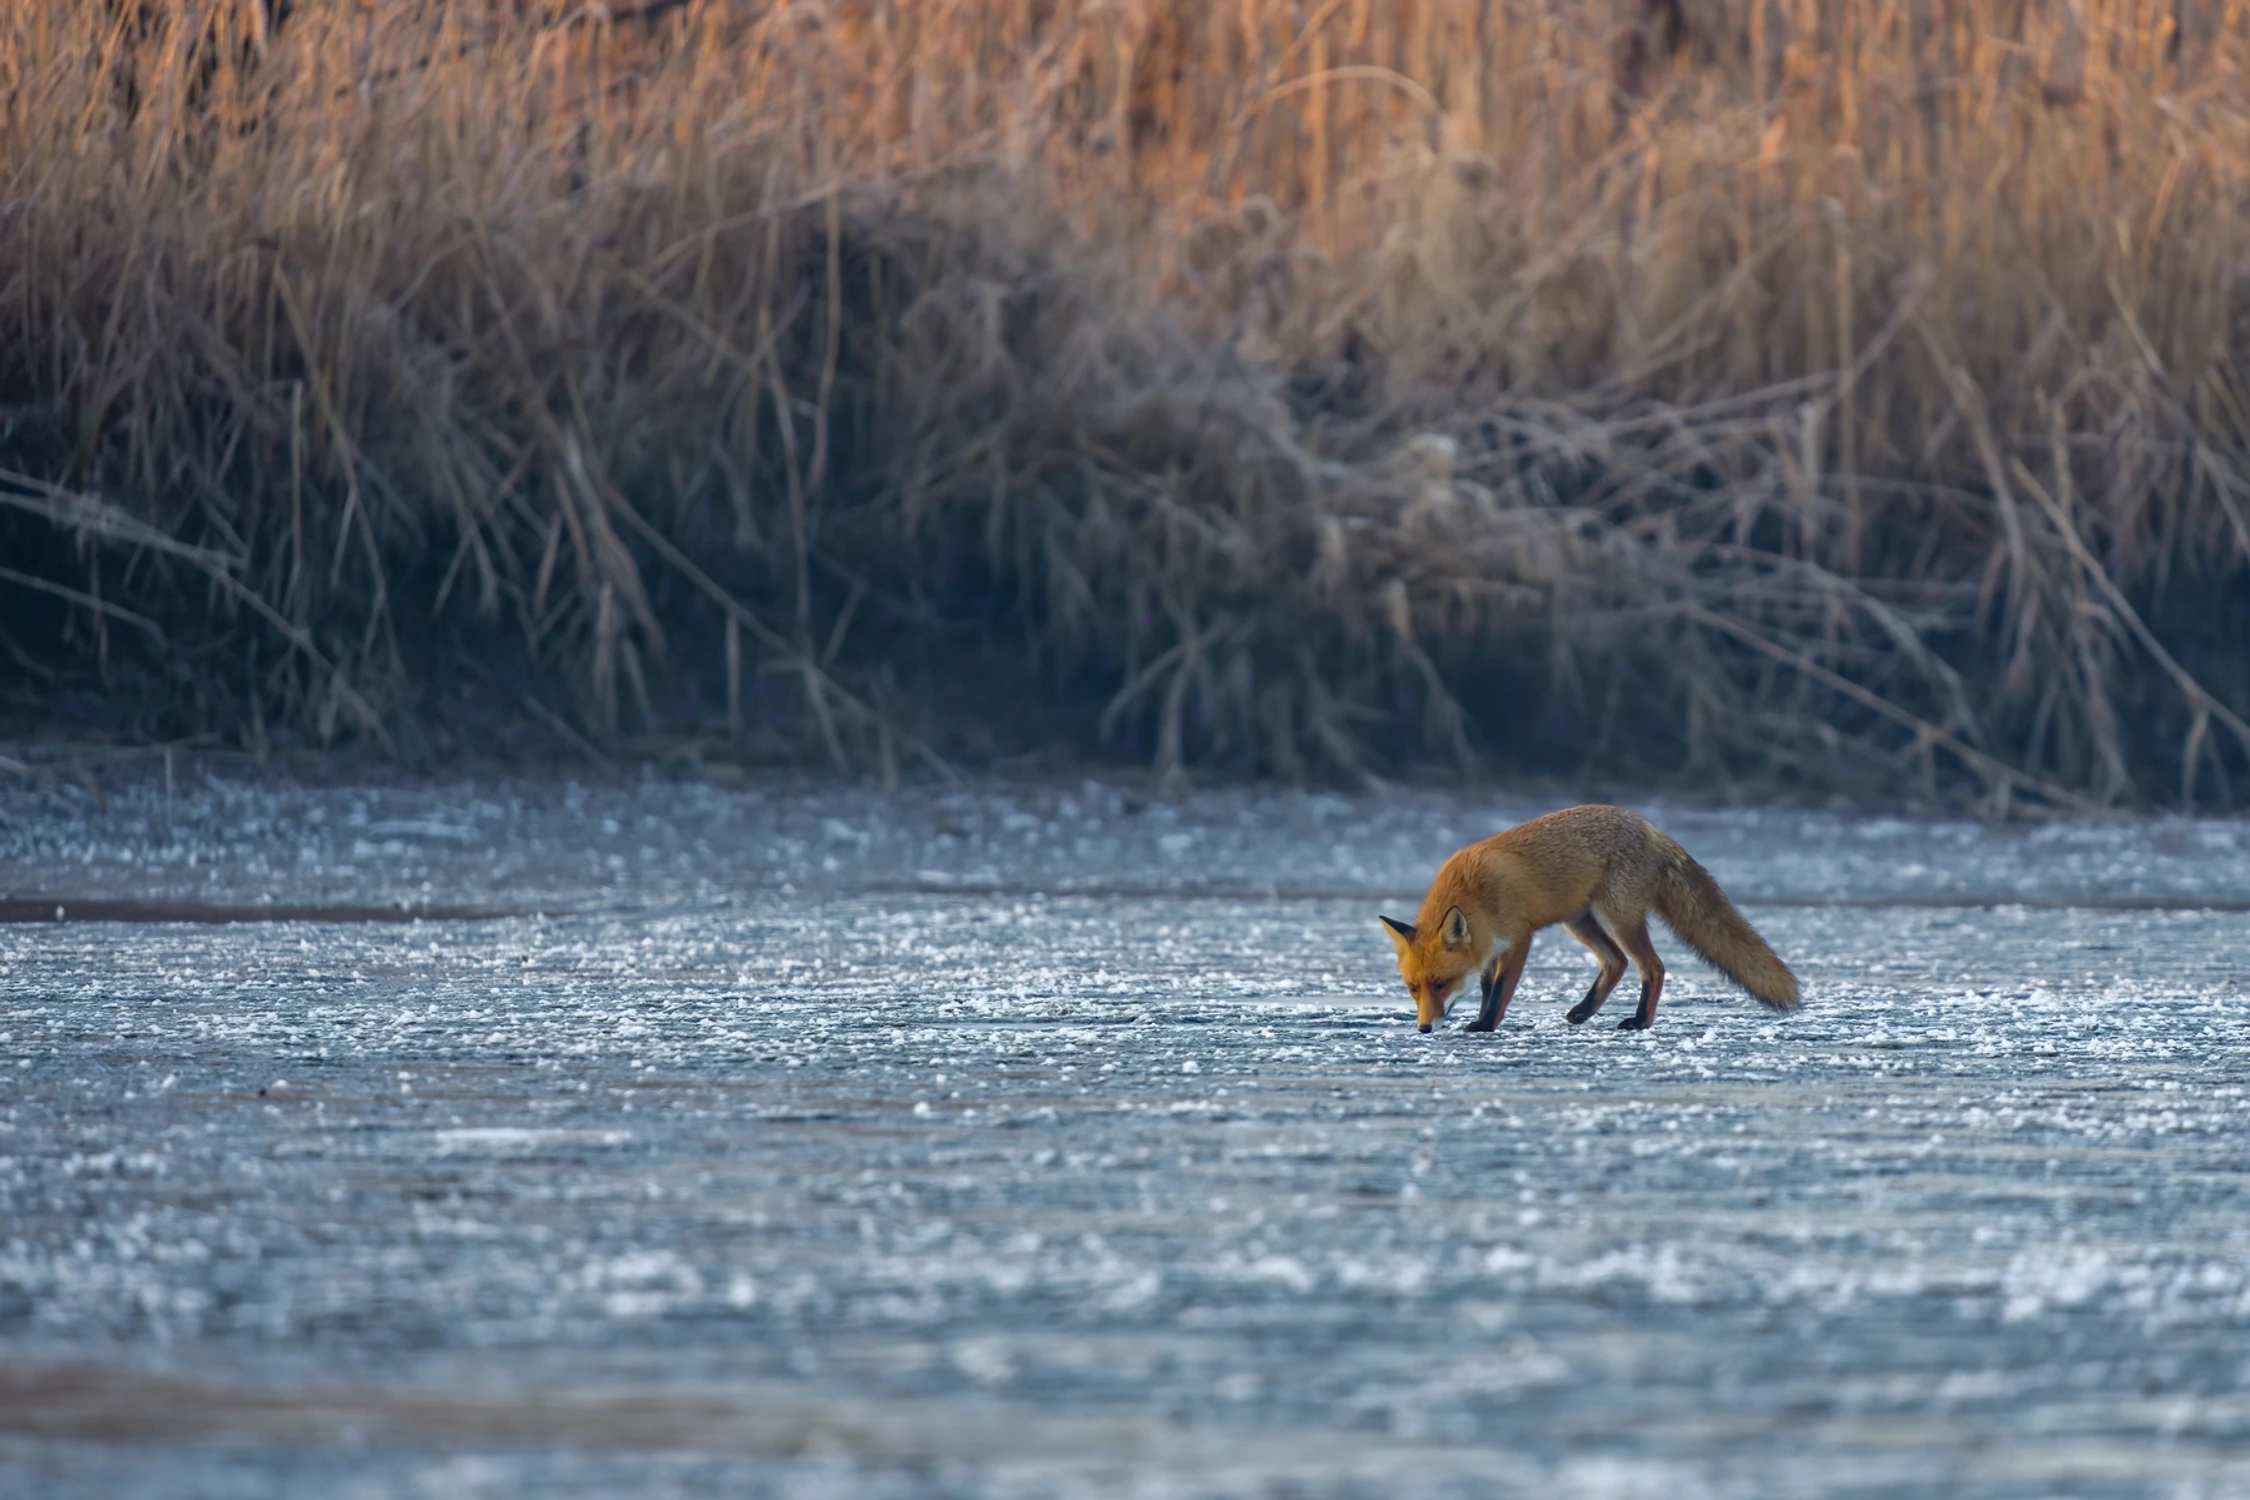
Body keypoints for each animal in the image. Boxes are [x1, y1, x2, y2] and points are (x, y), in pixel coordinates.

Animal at [1377, 809, 1800, 1034]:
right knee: (1617, 963)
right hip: (1581, 922)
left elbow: (1498, 992)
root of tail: (1650, 826)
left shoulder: (1518, 939)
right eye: (1413, 988)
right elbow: (1484, 989)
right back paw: (1584, 1012)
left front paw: (1485, 1026)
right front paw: (1481, 1020)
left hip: (1617, 918)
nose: (1423, 1028)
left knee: (1653, 966)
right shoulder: (1486, 949)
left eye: (1441, 984)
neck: (1476, 894)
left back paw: (1639, 1021)